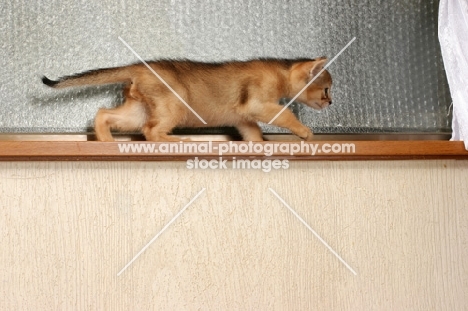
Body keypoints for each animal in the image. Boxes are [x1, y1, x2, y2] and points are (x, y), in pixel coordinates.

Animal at [42, 58, 330, 142]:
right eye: (327, 89)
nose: (331, 103)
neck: (280, 71)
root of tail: (139, 66)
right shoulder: (257, 104)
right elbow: (285, 114)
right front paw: (305, 132)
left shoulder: (242, 118)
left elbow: (252, 133)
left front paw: (258, 145)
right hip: (176, 104)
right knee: (151, 131)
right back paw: (176, 140)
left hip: (140, 108)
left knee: (104, 113)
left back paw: (106, 140)